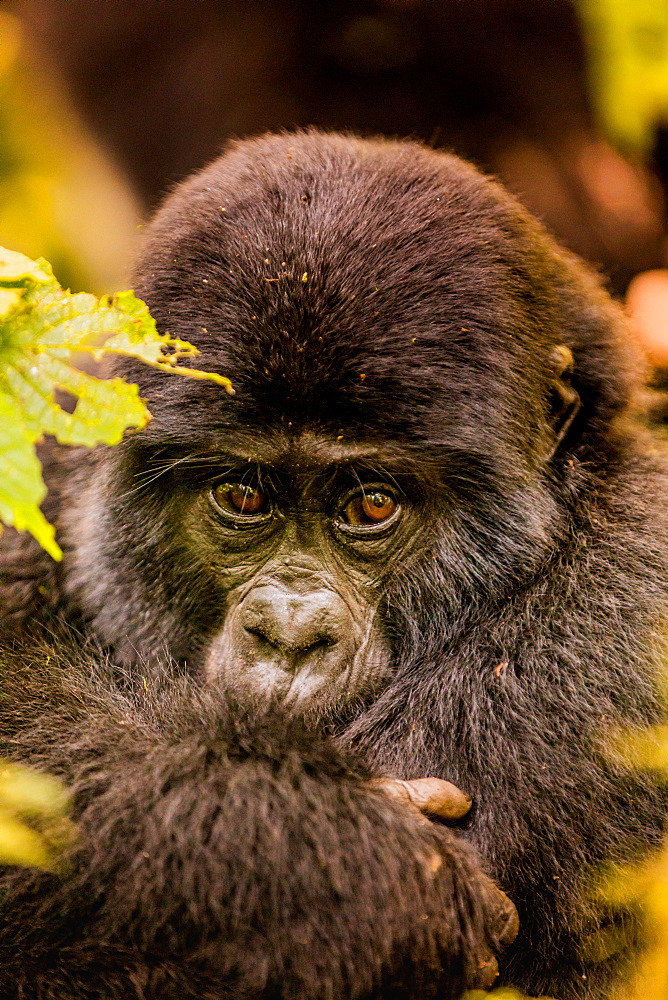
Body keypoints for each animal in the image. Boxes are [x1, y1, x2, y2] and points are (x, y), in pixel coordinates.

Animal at [1, 133, 668, 1000]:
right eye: (242, 495)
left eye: (372, 507)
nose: (288, 636)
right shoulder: (45, 460)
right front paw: (351, 862)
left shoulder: (623, 617)